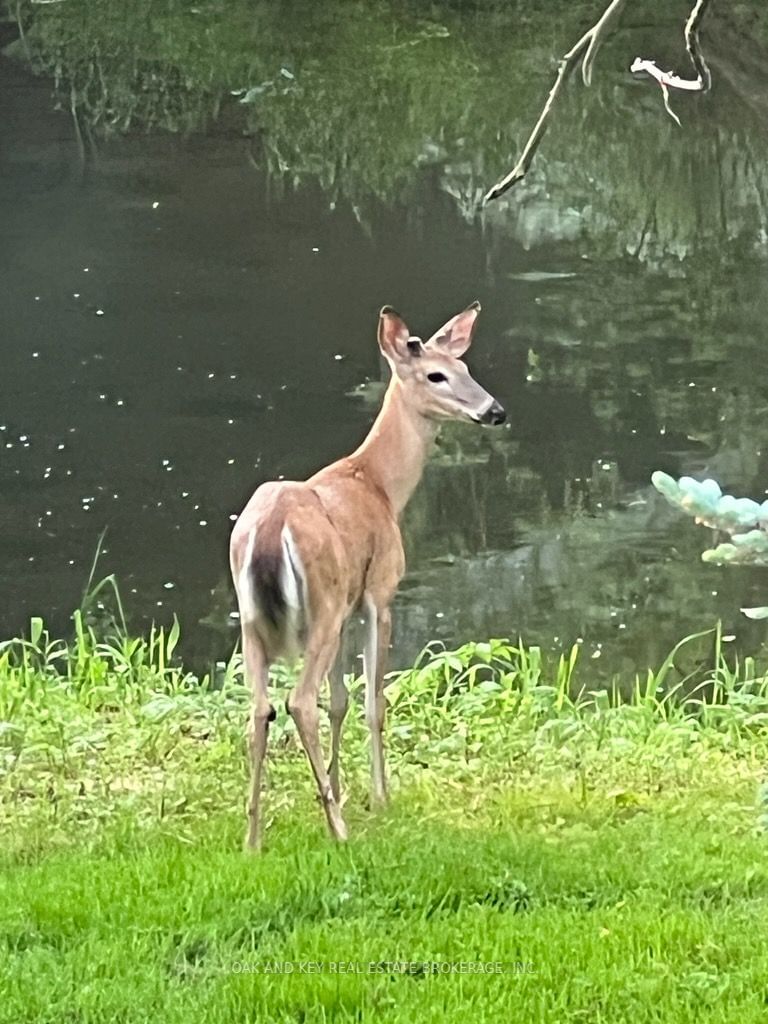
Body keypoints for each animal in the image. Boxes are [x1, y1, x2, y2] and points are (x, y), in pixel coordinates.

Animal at [228, 299, 505, 847]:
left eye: (465, 367)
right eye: (436, 374)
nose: (494, 411)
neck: (378, 484)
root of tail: (269, 530)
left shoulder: (348, 607)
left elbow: (340, 700)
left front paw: (337, 789)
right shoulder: (379, 593)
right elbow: (374, 701)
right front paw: (378, 798)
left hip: (256, 619)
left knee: (260, 709)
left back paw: (253, 838)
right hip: (321, 607)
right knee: (299, 702)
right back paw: (337, 830)